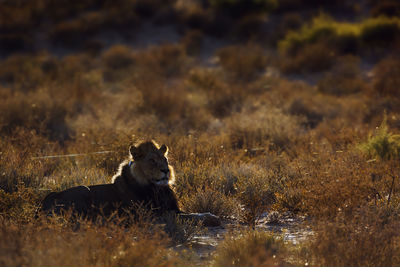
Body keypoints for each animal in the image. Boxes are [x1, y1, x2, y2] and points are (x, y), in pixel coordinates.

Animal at [39, 141, 220, 227]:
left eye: (165, 160)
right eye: (152, 161)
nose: (165, 171)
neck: (157, 188)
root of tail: (46, 200)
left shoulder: (173, 209)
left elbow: (193, 213)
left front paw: (211, 216)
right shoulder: (155, 215)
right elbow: (190, 217)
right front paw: (212, 218)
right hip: (84, 190)